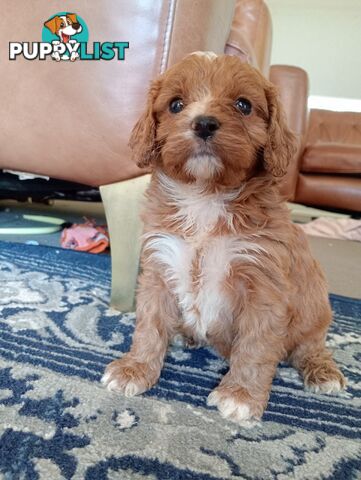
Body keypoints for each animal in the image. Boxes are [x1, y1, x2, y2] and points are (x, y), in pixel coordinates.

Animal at [101, 53, 344, 424]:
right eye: (176, 104)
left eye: (243, 105)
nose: (203, 123)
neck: (205, 196)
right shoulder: (159, 267)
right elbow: (149, 324)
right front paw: (135, 369)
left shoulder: (264, 283)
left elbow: (256, 344)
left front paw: (240, 395)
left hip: (315, 310)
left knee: (311, 346)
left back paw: (323, 372)